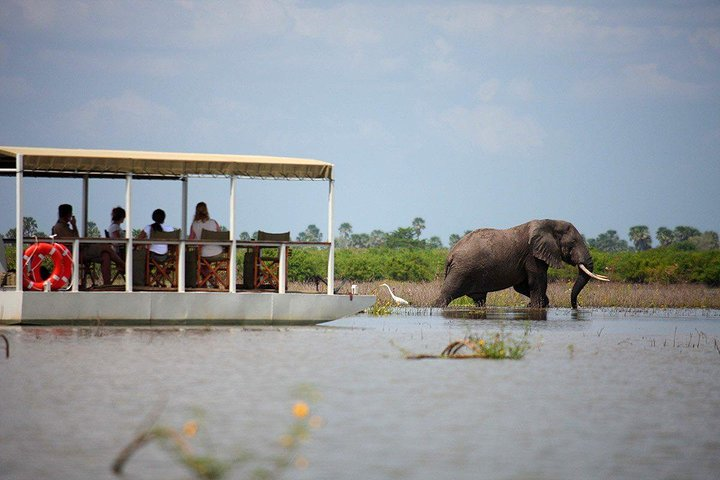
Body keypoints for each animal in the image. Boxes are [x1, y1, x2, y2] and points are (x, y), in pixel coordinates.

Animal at [436, 219, 612, 310]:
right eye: (573, 244)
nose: (576, 307)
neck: (549, 222)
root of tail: (450, 255)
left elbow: (521, 286)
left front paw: (533, 305)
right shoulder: (532, 255)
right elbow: (538, 281)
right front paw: (536, 306)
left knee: (479, 299)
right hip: (462, 270)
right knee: (446, 294)